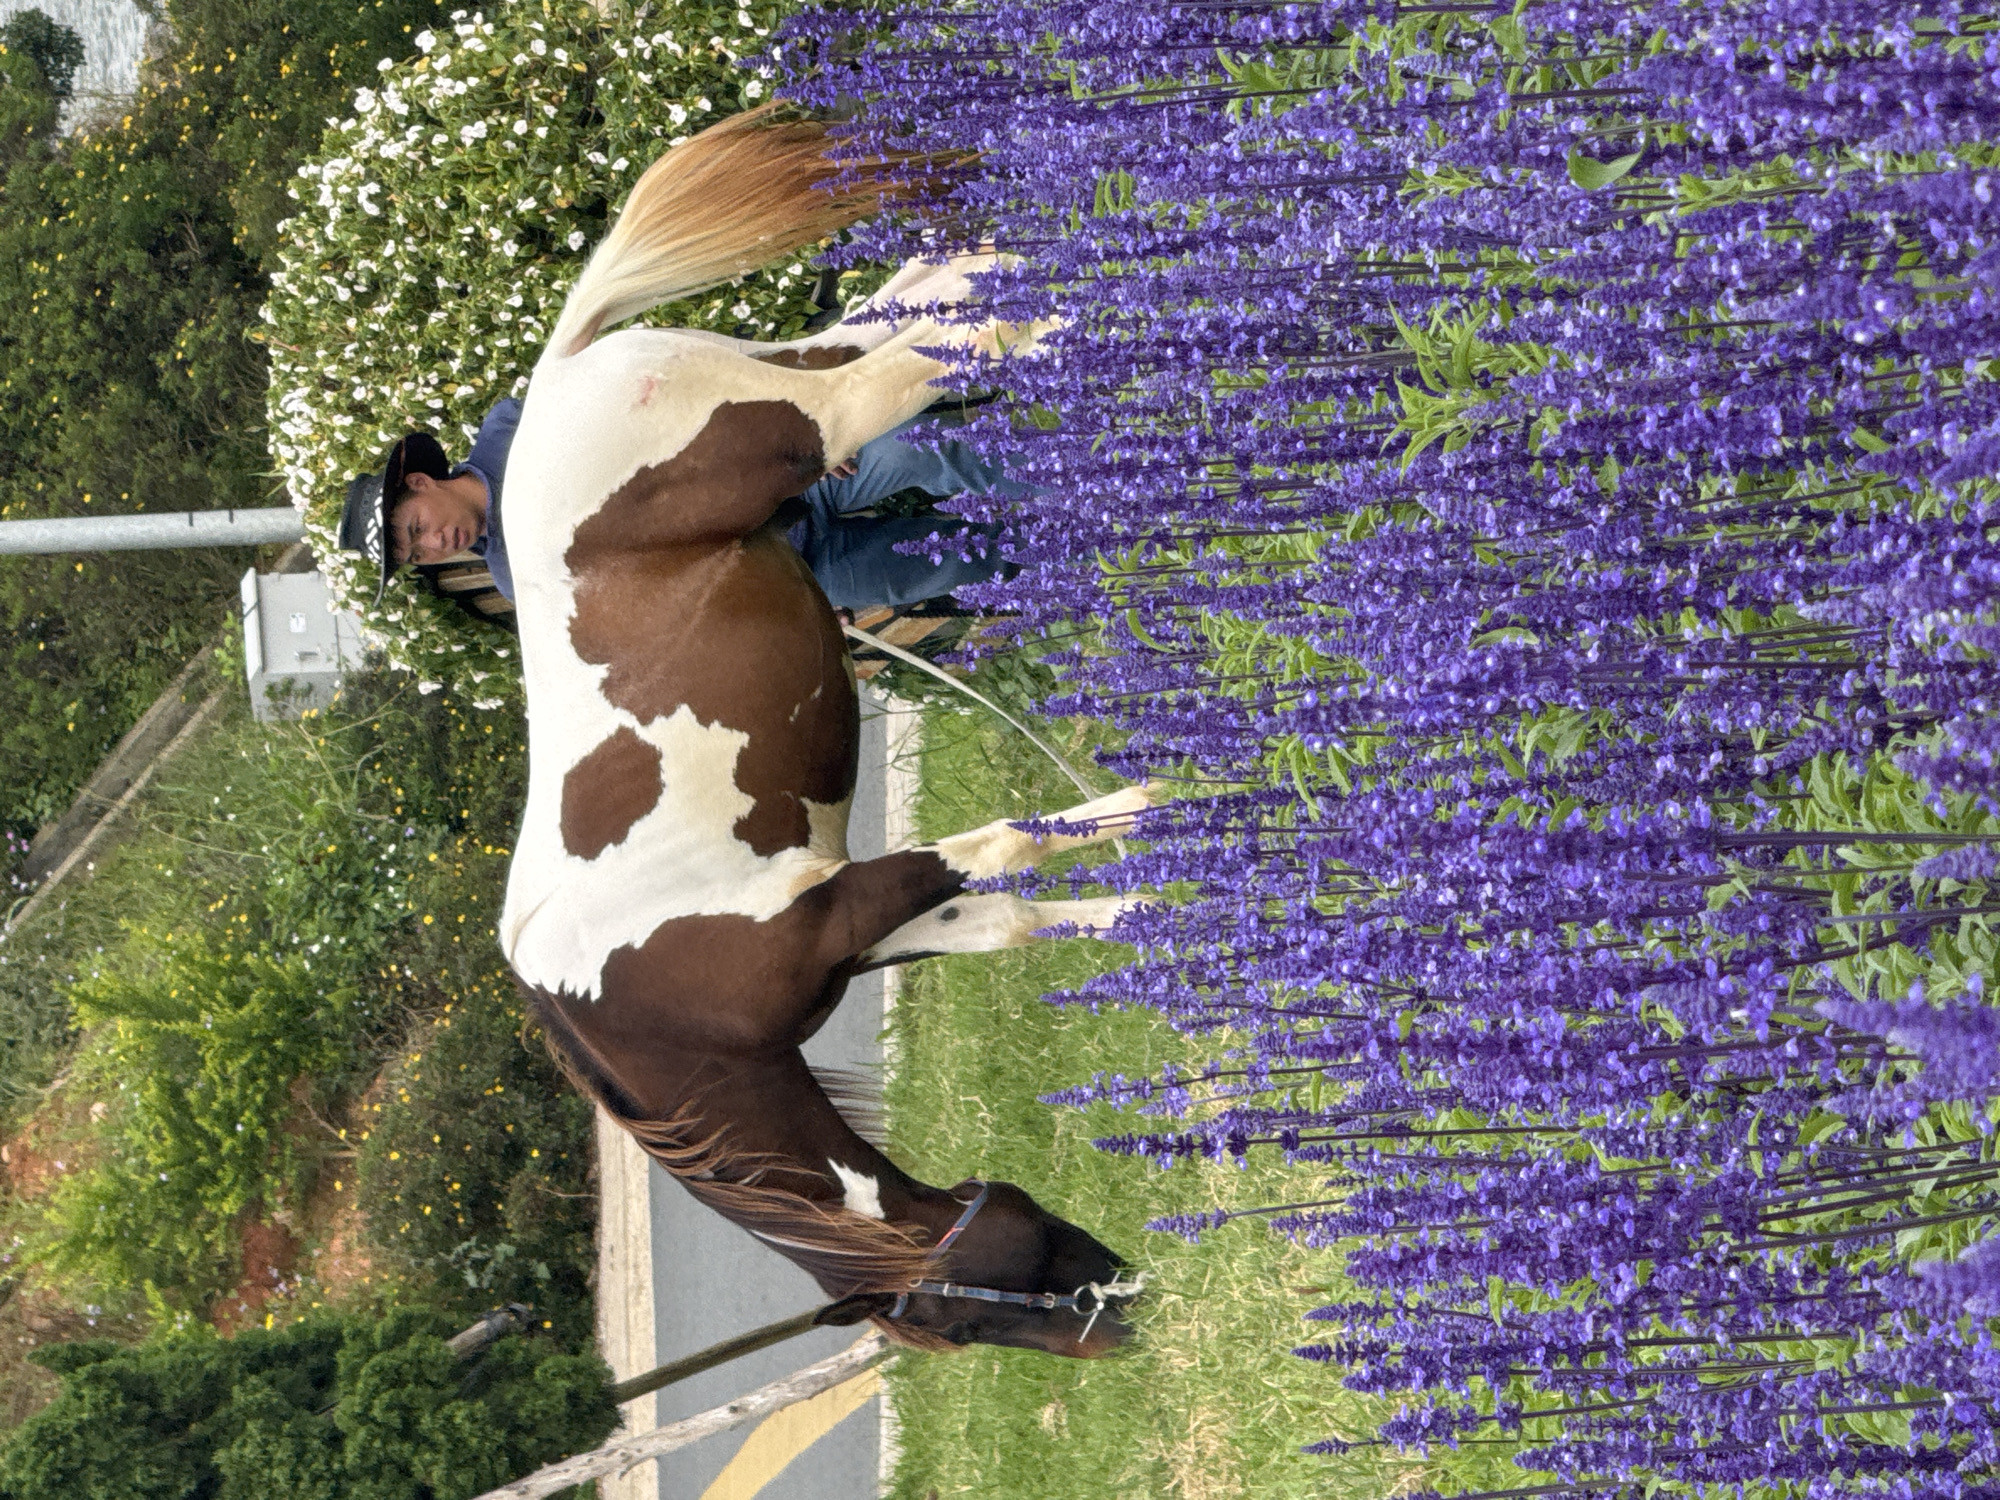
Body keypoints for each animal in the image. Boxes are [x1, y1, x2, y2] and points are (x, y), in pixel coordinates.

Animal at [493, 105, 1152, 1356]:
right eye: (966, 1326)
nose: (1115, 1321)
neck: (657, 1015)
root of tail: (556, 376)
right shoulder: (874, 930)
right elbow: (1015, 912)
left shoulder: (839, 903)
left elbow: (1006, 843)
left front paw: (1176, 806)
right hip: (803, 364)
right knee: (940, 290)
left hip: (813, 418)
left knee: (948, 341)